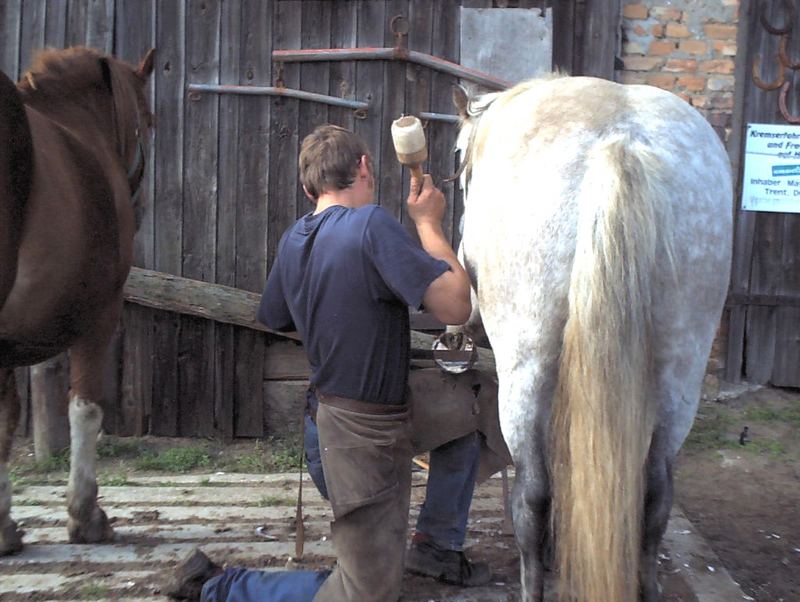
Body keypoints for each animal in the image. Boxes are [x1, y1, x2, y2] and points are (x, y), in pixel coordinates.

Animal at [450, 76, 732, 600]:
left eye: (459, 158)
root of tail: (621, 141)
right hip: (681, 374)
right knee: (654, 498)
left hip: (525, 375)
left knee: (533, 496)